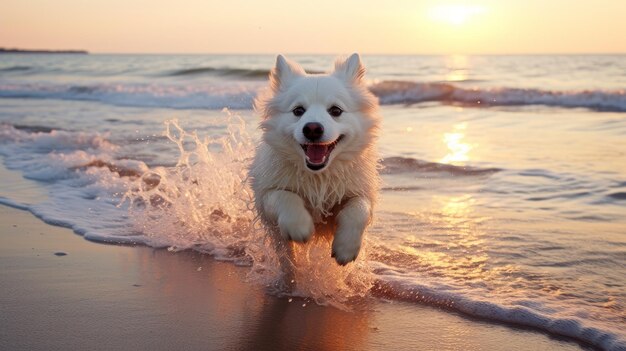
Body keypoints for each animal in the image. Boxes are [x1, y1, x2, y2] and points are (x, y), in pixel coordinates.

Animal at [250, 54, 378, 270]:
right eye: (298, 110)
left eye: (335, 110)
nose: (312, 128)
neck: (318, 177)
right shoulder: (266, 193)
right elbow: (284, 196)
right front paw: (299, 226)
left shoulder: (361, 191)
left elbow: (358, 209)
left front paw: (346, 248)